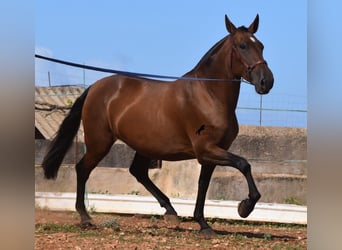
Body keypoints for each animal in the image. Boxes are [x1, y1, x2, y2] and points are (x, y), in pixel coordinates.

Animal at [41, 14, 274, 234]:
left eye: (261, 45)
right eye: (242, 45)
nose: (267, 82)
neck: (208, 94)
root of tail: (94, 87)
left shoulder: (213, 153)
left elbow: (203, 184)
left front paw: (203, 224)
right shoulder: (206, 150)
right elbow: (244, 164)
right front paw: (244, 207)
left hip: (144, 146)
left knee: (138, 172)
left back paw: (170, 211)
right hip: (100, 143)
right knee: (82, 169)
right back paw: (85, 217)